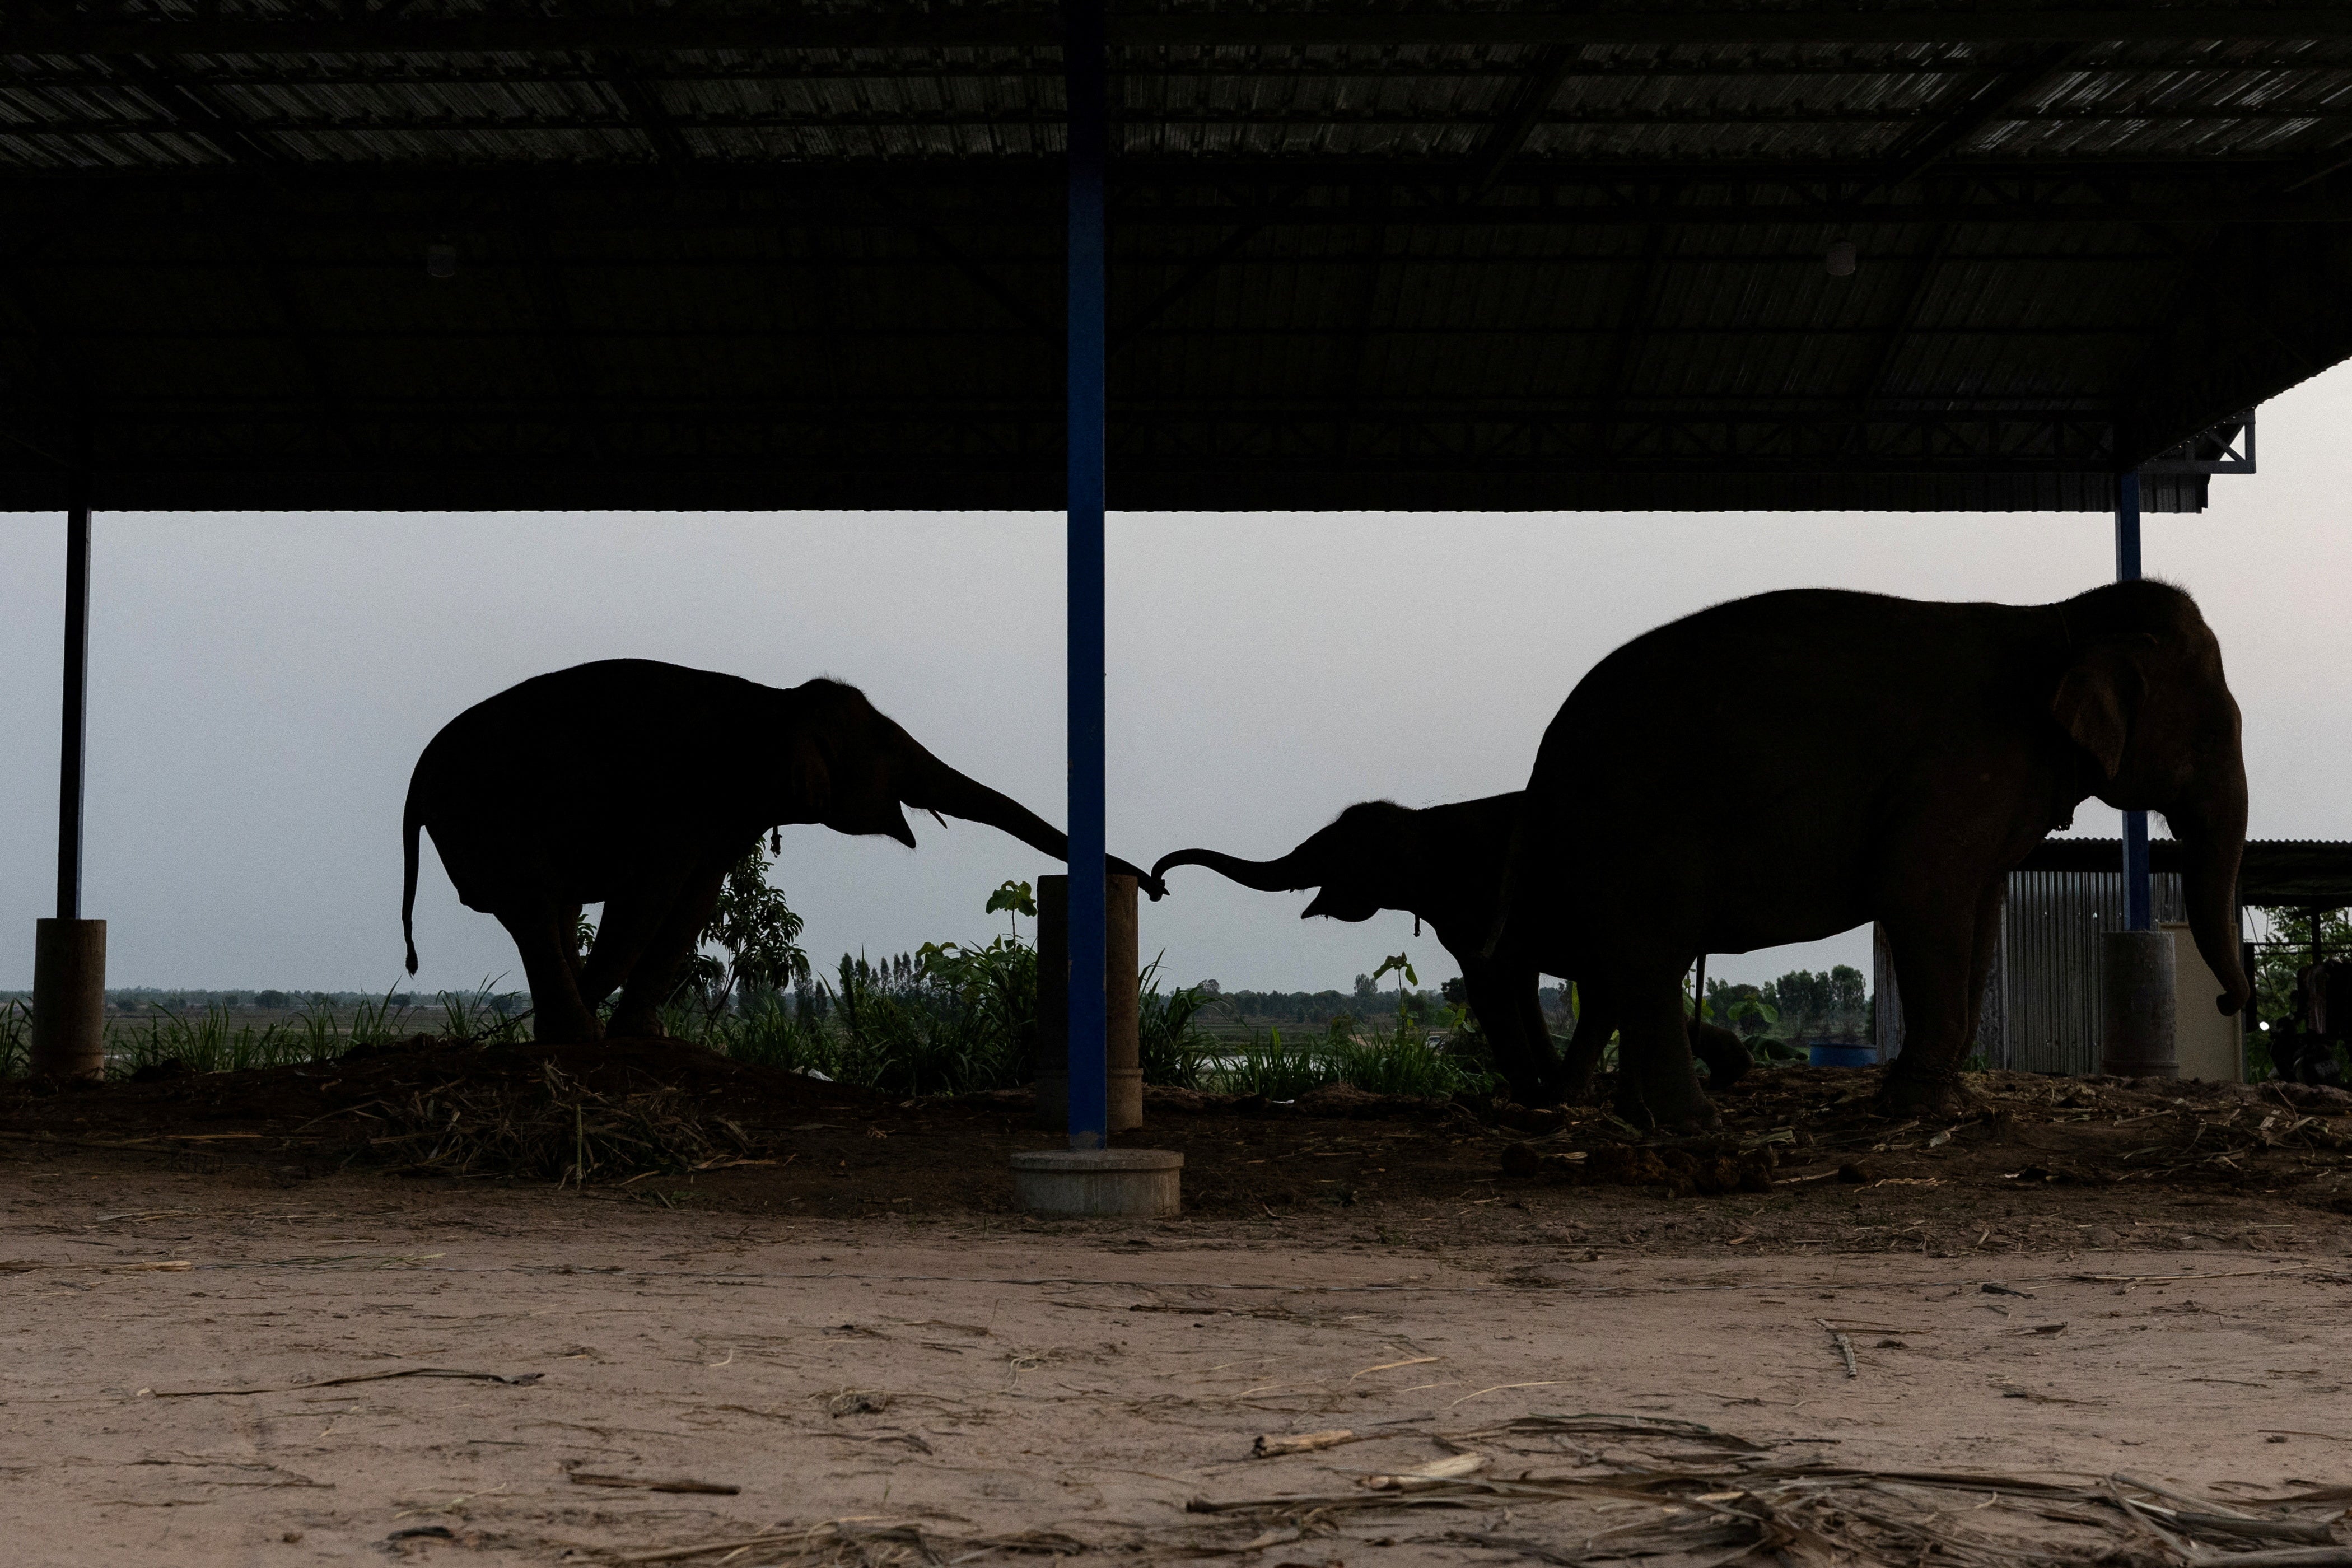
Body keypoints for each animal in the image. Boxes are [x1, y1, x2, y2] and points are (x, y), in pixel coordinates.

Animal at [409, 658, 1171, 1043]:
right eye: (886, 751)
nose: (1157, 882)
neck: (775, 703)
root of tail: (415, 783)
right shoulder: (681, 800)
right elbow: (650, 896)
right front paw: (607, 1037)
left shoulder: (724, 817)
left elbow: (693, 901)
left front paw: (644, 1040)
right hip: (485, 816)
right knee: (536, 905)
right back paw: (570, 1034)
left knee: (552, 908)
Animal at [1147, 799, 1759, 1105]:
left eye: (1343, 852)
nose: (1159, 883)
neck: (1421, 821)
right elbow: (1519, 980)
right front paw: (1535, 1088)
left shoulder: (1474, 899)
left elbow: (1490, 979)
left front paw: (1527, 1095)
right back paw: (1727, 1070)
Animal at [1496, 576, 2248, 1128]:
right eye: (2212, 734)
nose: (2229, 1003)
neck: (2063, 617)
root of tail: (1542, 758)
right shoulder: (1960, 771)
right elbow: (1919, 888)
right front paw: (1912, 1107)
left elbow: (1981, 911)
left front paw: (1948, 1100)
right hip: (1634, 821)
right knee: (1648, 959)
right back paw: (1694, 1124)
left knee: (1621, 969)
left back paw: (1628, 1113)